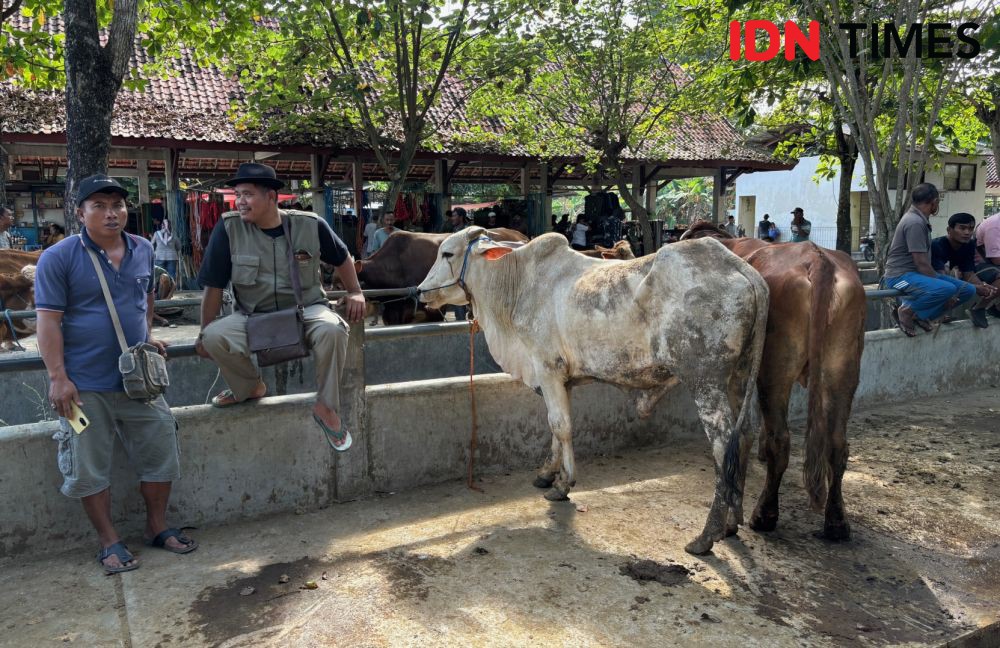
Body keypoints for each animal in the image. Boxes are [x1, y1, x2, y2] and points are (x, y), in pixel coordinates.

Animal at [418, 228, 768, 552]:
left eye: (447, 253)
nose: (420, 292)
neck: (517, 284)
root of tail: (738, 266)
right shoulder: (560, 380)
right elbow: (555, 428)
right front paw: (547, 473)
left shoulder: (547, 368)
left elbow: (561, 426)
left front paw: (563, 485)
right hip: (741, 377)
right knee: (747, 433)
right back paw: (733, 521)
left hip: (705, 382)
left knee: (723, 445)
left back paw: (707, 534)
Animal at [680, 220, 868, 540]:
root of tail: (817, 260)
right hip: (843, 367)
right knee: (837, 444)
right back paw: (836, 522)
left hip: (775, 367)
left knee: (781, 440)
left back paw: (764, 515)